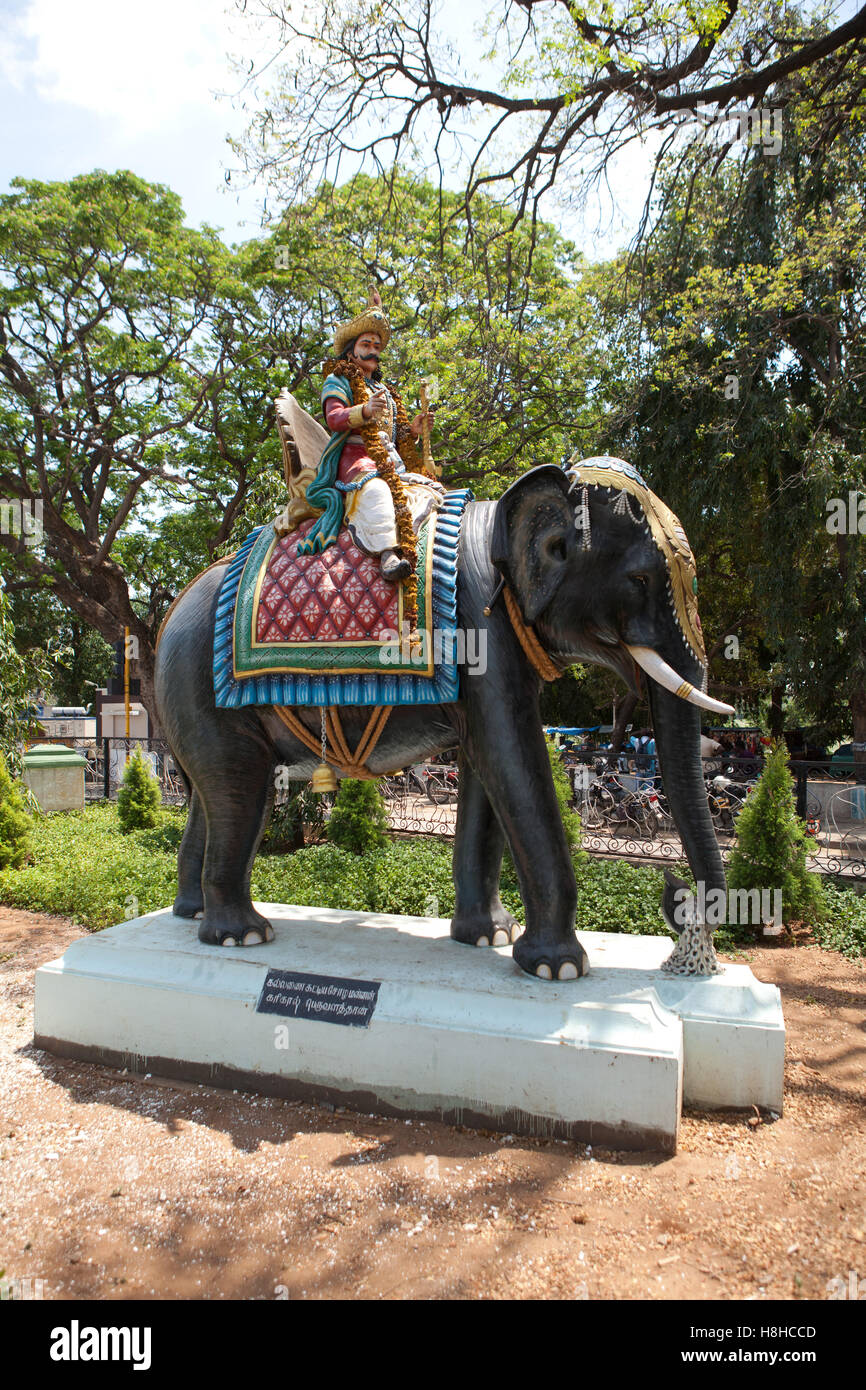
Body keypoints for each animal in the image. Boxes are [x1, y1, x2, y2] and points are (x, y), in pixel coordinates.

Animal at [154, 455, 733, 978]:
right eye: (640, 579)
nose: (678, 895)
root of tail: (170, 611)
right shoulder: (481, 633)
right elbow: (512, 758)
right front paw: (557, 968)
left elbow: (486, 767)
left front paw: (490, 937)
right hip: (198, 683)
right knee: (239, 789)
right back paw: (242, 936)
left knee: (214, 794)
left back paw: (191, 915)